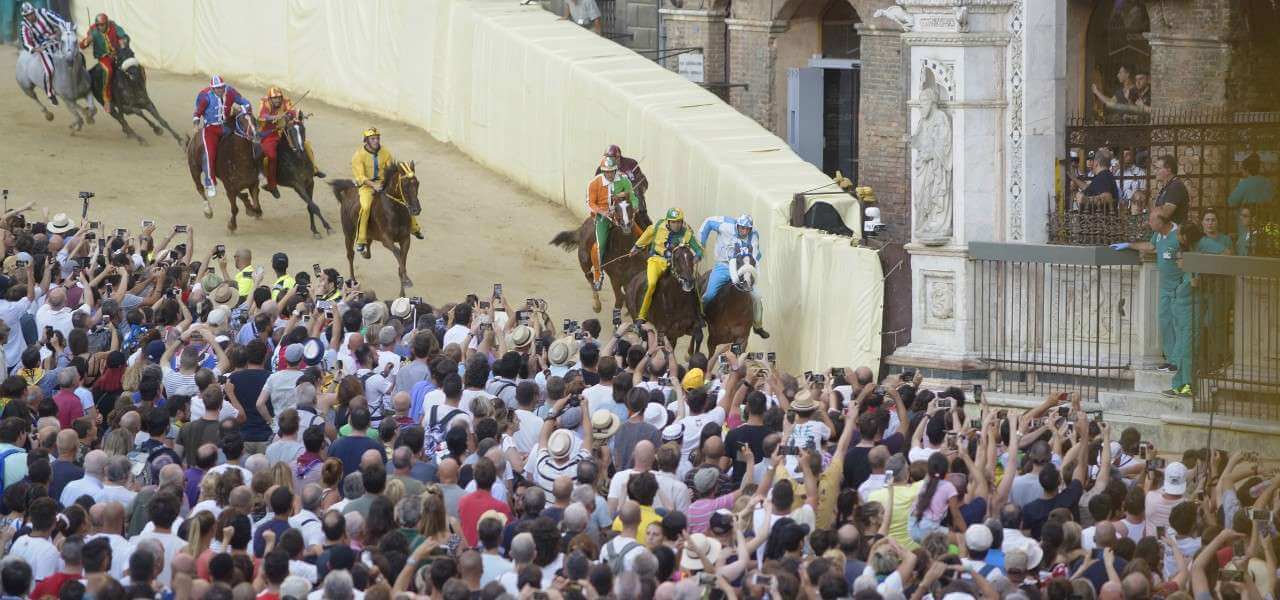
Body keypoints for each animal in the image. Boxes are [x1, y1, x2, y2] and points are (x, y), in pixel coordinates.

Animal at [332, 161, 422, 296]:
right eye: (405, 185)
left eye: (417, 183)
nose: (416, 210)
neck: (395, 211)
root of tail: (348, 191)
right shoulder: (386, 240)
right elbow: (398, 254)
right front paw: (406, 281)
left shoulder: (406, 239)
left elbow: (402, 259)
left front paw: (403, 291)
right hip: (348, 233)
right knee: (350, 255)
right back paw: (352, 280)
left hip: (368, 233)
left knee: (367, 246)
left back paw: (364, 251)